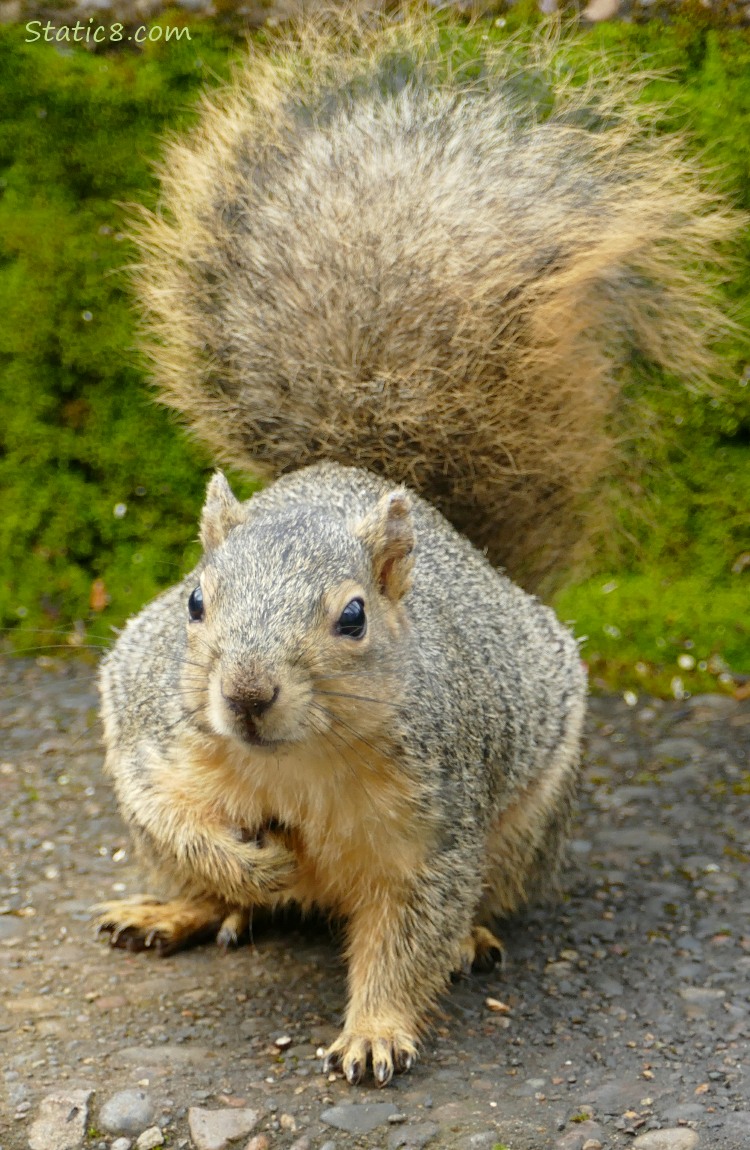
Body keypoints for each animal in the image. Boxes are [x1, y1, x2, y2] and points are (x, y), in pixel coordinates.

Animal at [92, 13, 731, 1081]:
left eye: (352, 617)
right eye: (194, 601)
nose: (247, 696)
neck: (294, 764)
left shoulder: (434, 821)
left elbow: (408, 929)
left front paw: (375, 1032)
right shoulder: (154, 730)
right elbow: (172, 809)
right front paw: (246, 863)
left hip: (523, 821)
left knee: (478, 899)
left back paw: (472, 939)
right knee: (183, 868)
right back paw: (178, 909)